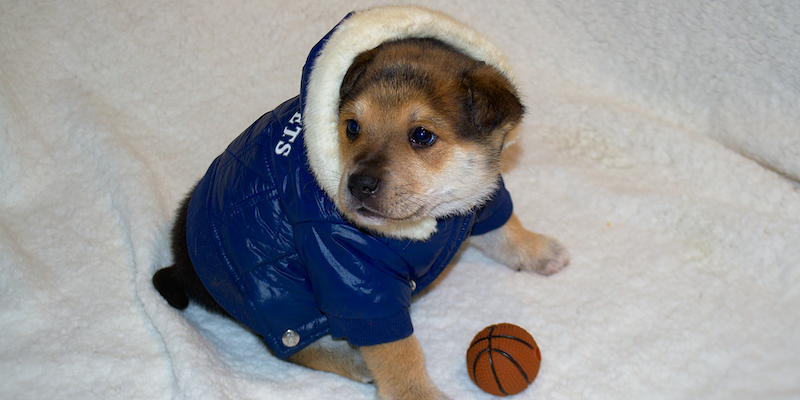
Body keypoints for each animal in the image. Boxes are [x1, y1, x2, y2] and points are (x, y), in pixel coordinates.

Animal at [155, 32, 568, 400]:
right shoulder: (353, 276)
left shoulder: (483, 199)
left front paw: (537, 251)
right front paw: (415, 394)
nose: (358, 185)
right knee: (289, 345)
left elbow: (505, 229)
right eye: (352, 127)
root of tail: (184, 263)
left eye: (422, 135)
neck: (435, 216)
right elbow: (397, 350)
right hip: (279, 295)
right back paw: (353, 361)